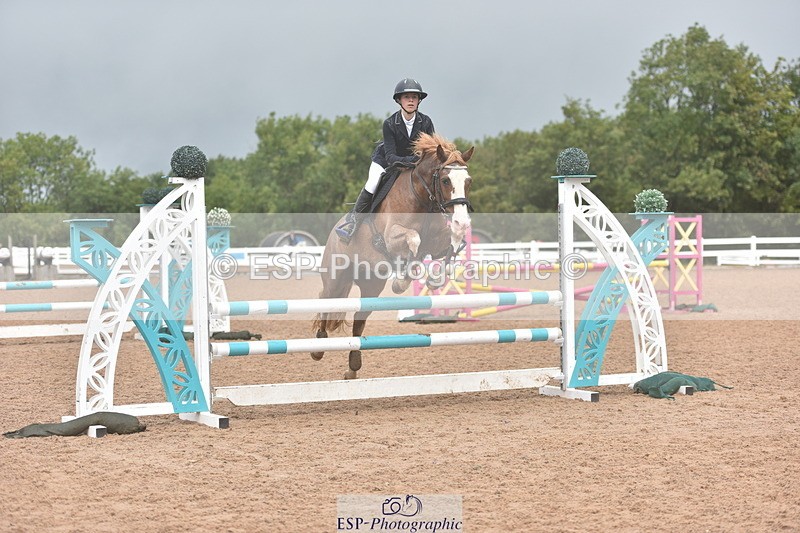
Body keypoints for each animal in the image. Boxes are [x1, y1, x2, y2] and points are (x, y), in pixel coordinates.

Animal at [311, 133, 475, 379]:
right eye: (446, 181)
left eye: (468, 181)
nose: (462, 221)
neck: (422, 199)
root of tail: (334, 232)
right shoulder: (392, 236)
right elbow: (414, 240)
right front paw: (402, 280)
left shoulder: (438, 242)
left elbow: (453, 243)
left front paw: (435, 278)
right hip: (336, 278)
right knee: (326, 300)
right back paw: (318, 349)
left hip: (371, 285)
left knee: (359, 319)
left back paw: (353, 367)